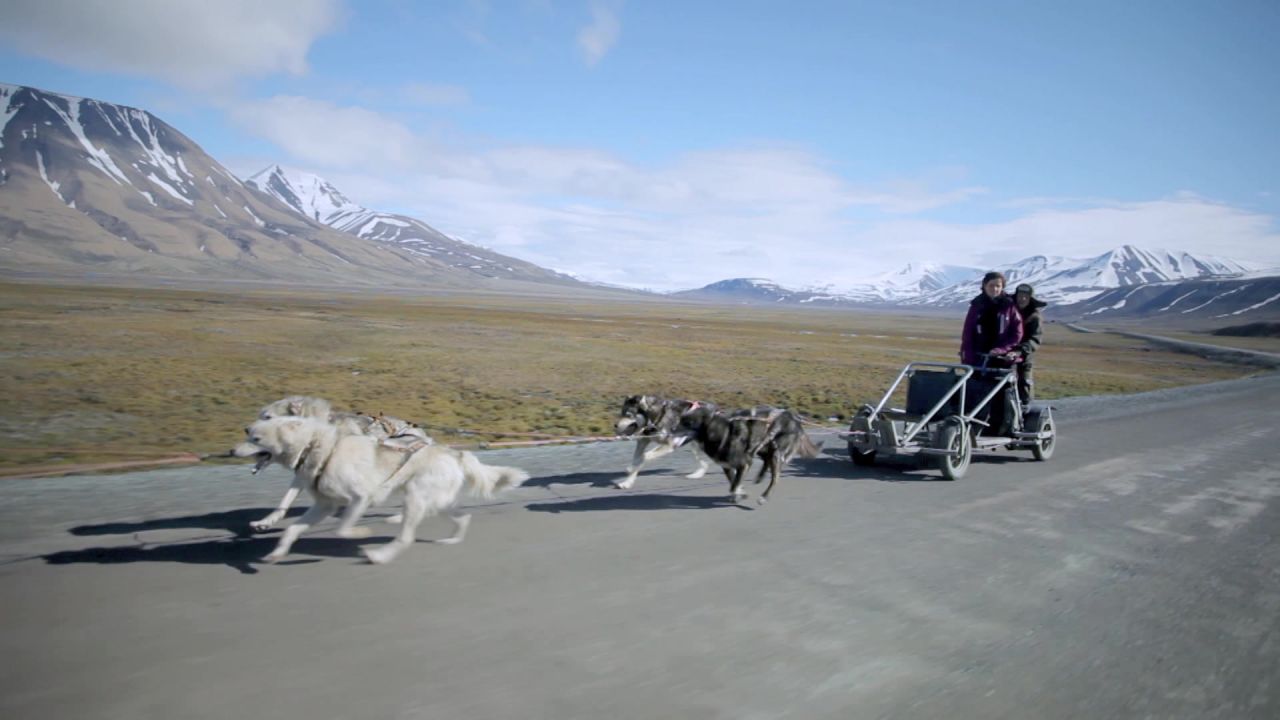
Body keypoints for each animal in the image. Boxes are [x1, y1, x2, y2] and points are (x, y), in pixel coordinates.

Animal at [232, 417, 527, 563]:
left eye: (255, 437)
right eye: (248, 432)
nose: (231, 451)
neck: (320, 448)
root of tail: (454, 453)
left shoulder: (361, 498)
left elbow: (342, 529)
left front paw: (361, 533)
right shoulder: (325, 505)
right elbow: (292, 529)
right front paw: (276, 553)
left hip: (416, 498)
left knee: (406, 538)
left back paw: (379, 555)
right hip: (438, 503)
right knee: (463, 517)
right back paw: (451, 540)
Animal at [247, 394, 432, 530]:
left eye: (268, 418)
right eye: (259, 416)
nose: (247, 430)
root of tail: (420, 431)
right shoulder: (305, 474)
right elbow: (285, 501)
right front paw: (266, 522)